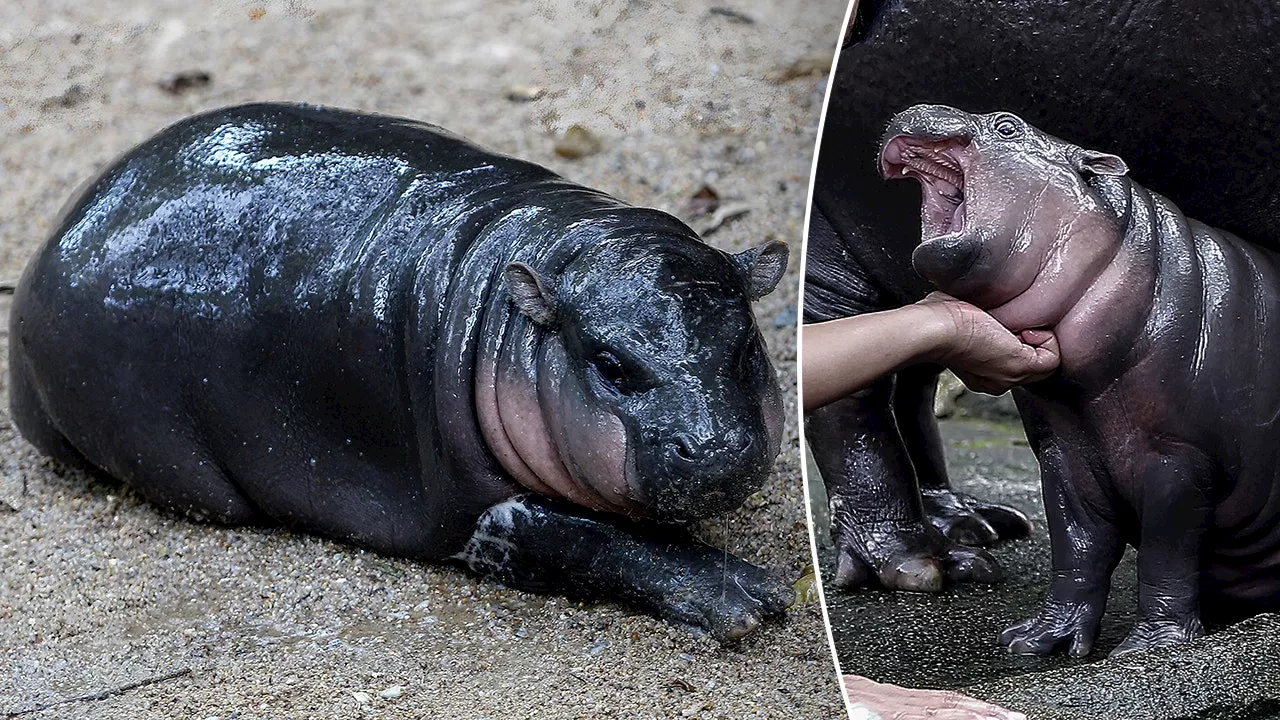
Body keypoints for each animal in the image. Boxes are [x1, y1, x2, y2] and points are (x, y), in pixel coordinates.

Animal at [7, 101, 788, 638]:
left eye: (747, 347)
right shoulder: (483, 519)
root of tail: (50, 246)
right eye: (610, 363)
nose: (715, 446)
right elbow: (593, 539)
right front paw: (748, 598)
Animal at [880, 105, 1280, 655]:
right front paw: (1035, 639)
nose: (915, 108)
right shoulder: (1064, 452)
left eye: (1007, 125)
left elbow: (1167, 551)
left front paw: (1150, 648)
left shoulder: (1178, 458)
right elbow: (1077, 546)